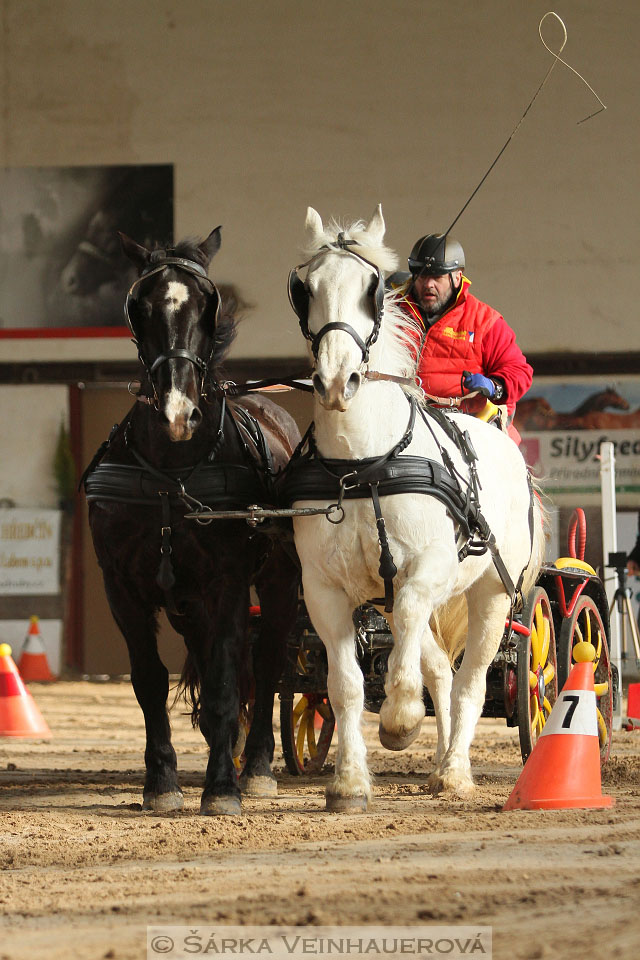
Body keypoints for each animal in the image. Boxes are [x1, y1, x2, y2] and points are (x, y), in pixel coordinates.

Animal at [84, 229, 300, 812]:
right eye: (139, 307)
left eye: (208, 305)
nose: (177, 413)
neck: (172, 470)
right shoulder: (121, 586)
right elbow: (149, 680)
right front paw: (161, 782)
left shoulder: (228, 582)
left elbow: (228, 678)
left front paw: (222, 786)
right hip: (186, 602)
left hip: (280, 582)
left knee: (268, 664)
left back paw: (257, 766)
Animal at [290, 208, 544, 808]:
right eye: (306, 288)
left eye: (373, 288)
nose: (336, 381)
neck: (363, 465)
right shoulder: (324, 589)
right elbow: (344, 685)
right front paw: (349, 782)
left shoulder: (423, 570)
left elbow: (410, 640)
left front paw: (400, 719)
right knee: (441, 673)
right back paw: (440, 763)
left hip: (491, 594)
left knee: (470, 680)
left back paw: (455, 770)